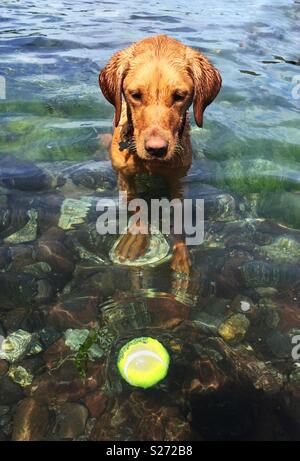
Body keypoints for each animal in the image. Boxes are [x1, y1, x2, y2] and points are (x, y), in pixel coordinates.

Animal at [99, 36, 221, 274]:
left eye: (179, 96)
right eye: (135, 95)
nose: (156, 149)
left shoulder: (177, 179)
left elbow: (180, 218)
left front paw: (181, 256)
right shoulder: (124, 177)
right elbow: (137, 205)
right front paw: (135, 239)